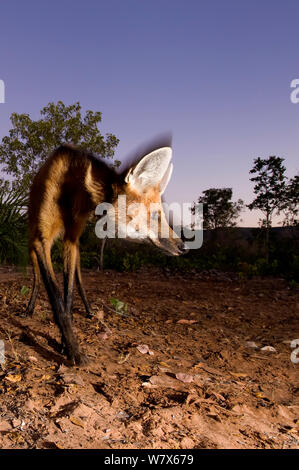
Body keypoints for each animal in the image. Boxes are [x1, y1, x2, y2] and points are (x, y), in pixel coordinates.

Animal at [25, 140, 186, 364]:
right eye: (156, 215)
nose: (183, 246)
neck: (73, 188)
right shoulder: (42, 240)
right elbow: (57, 301)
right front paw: (73, 350)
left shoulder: (71, 239)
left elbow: (68, 299)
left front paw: (66, 344)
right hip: (33, 242)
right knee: (37, 277)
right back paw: (30, 307)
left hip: (74, 248)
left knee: (78, 280)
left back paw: (88, 310)